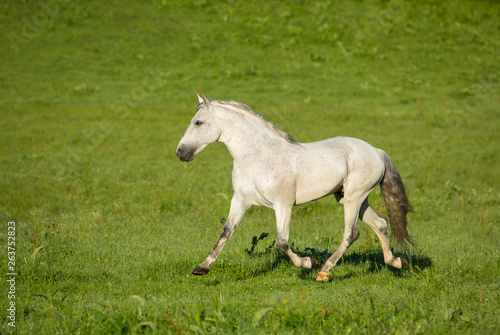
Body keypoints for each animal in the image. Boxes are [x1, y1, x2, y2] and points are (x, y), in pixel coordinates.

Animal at [178, 95, 412, 284]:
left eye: (198, 122)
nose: (180, 153)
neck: (258, 157)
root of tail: (376, 151)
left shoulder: (283, 204)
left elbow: (282, 243)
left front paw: (309, 262)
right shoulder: (240, 201)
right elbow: (226, 232)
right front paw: (202, 267)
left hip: (354, 198)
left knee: (351, 233)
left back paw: (324, 272)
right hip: (351, 198)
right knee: (381, 224)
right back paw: (398, 262)